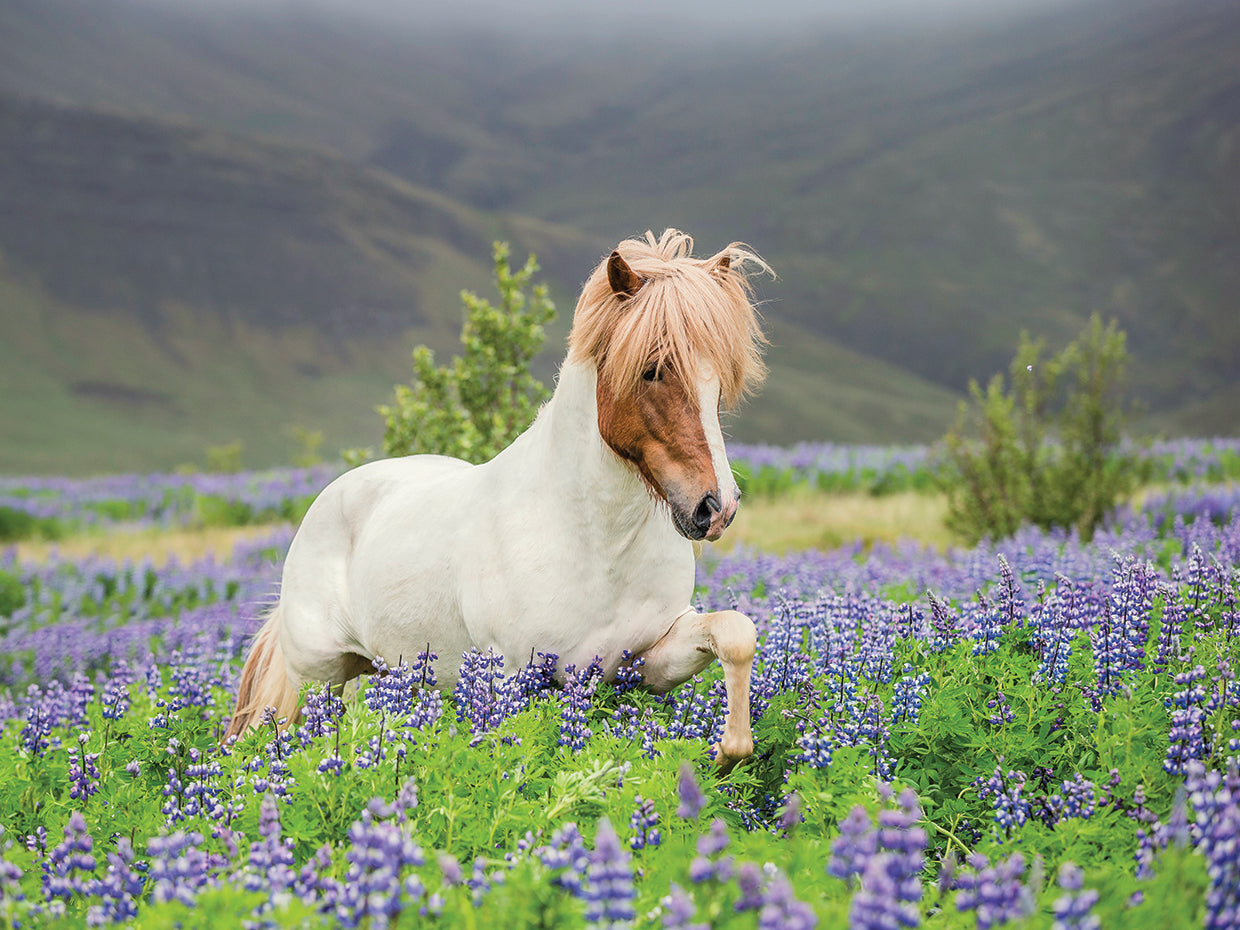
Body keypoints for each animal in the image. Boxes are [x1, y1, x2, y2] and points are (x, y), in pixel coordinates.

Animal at [225, 229, 770, 769]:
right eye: (652, 369)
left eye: (719, 379)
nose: (716, 507)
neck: (598, 543)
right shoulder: (516, 676)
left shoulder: (647, 660)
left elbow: (736, 634)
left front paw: (728, 752)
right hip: (319, 681)